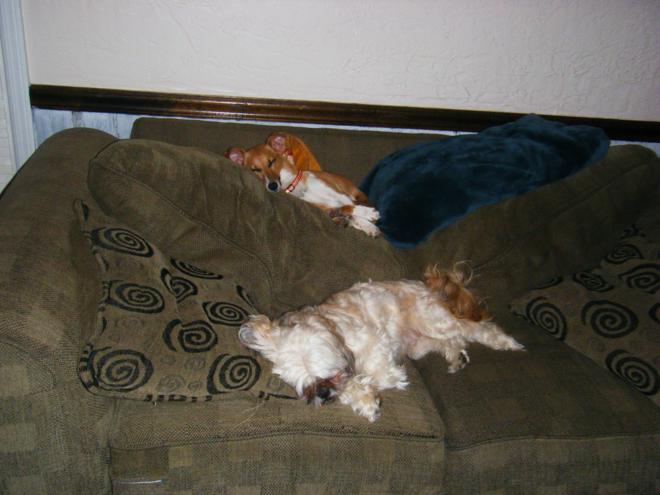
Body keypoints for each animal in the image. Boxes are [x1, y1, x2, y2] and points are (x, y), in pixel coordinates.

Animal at [227, 143, 382, 238]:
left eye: (271, 162)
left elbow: (352, 207)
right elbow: (348, 209)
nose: (272, 185)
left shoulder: (340, 195)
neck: (295, 186)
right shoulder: (322, 206)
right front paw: (367, 220)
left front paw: (369, 217)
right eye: (255, 170)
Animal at [240, 268, 524, 422]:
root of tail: (427, 287)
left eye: (328, 376)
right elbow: (355, 386)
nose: (323, 394)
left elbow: (382, 375)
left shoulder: (375, 341)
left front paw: (372, 388)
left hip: (433, 321)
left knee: (472, 328)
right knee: (454, 340)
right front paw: (365, 400)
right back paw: (457, 357)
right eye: (307, 388)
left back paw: (506, 342)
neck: (336, 331)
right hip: (419, 344)